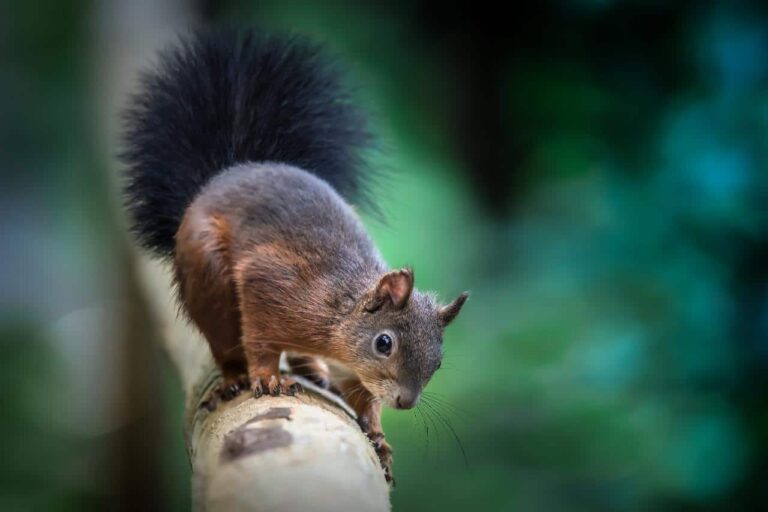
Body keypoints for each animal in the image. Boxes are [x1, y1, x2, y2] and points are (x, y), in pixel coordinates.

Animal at [121, 29, 468, 484]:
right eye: (384, 343)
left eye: (439, 361)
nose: (406, 402)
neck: (342, 313)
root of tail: (222, 176)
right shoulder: (270, 282)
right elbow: (261, 340)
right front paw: (268, 377)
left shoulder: (356, 372)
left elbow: (364, 398)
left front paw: (378, 435)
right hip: (208, 278)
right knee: (225, 340)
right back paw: (236, 376)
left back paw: (314, 370)